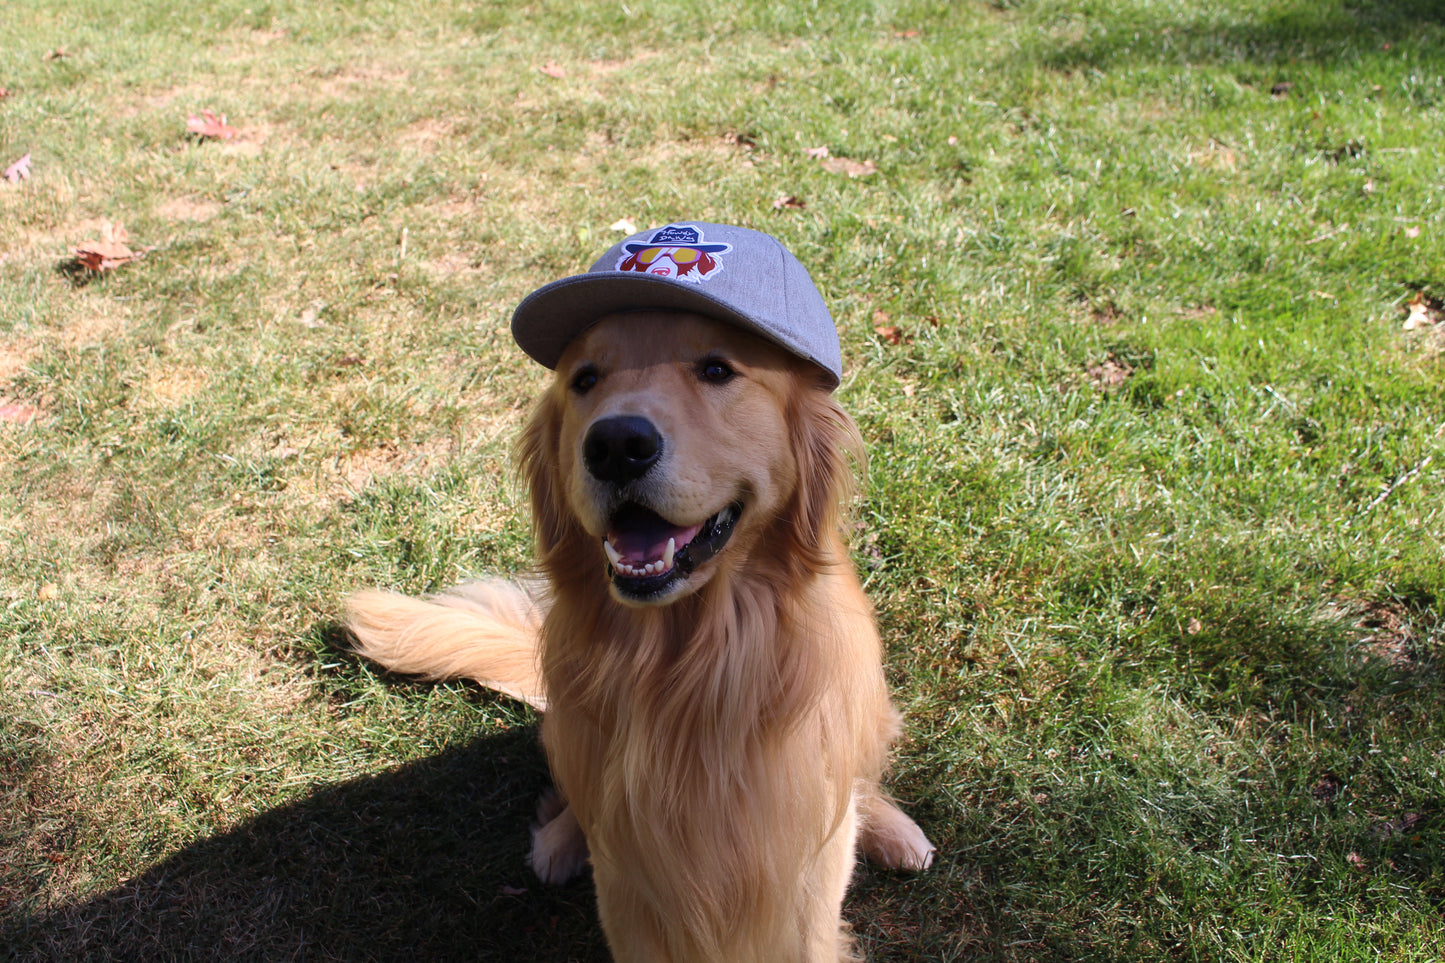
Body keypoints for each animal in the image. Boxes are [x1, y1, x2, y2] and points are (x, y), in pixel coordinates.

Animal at [349, 221, 936, 954]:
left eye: (716, 369)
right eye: (585, 380)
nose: (615, 445)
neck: (690, 673)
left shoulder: (802, 875)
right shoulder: (633, 881)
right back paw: (559, 840)